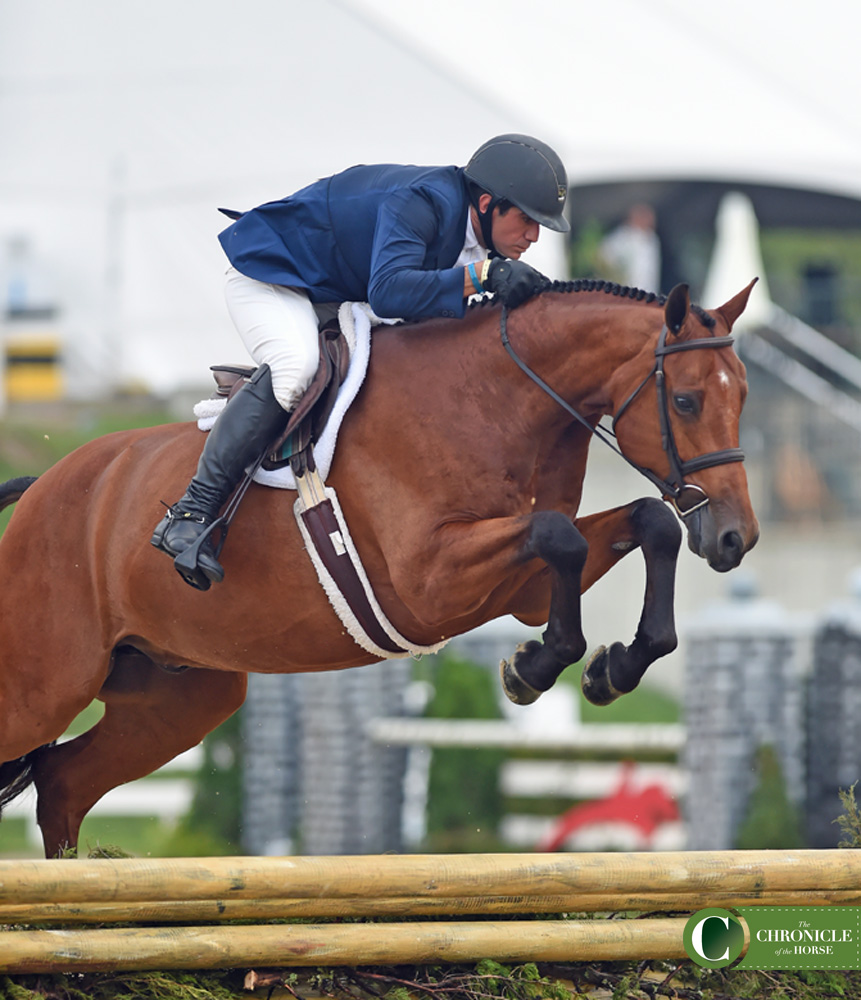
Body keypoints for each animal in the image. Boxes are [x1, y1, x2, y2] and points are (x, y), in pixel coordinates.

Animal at [0, 278, 756, 856]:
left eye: (742, 397)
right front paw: (533, 669)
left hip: (177, 697)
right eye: (685, 400)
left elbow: (646, 523)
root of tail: (39, 490)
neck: (495, 400)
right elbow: (559, 537)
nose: (734, 539)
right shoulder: (432, 580)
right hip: (47, 685)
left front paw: (610, 668)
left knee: (62, 783)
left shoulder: (524, 588)